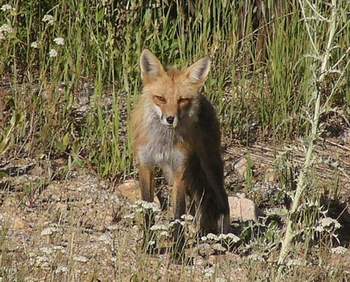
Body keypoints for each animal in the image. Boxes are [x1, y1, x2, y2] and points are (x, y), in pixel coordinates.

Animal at [130, 49, 231, 254]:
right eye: (160, 99)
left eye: (182, 100)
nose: (170, 119)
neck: (163, 142)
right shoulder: (146, 165)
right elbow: (147, 209)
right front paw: (149, 245)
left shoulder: (179, 171)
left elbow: (177, 214)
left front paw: (177, 254)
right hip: (175, 173)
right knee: (198, 203)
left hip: (209, 166)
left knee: (222, 199)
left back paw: (223, 240)